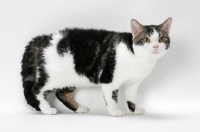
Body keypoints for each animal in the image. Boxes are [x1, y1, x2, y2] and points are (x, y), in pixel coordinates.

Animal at [21, 17, 172, 116]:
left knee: (62, 94)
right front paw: (114, 111)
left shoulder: (133, 84)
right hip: (53, 76)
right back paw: (47, 109)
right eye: (146, 39)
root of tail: (44, 37)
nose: (156, 46)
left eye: (162, 39)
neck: (138, 57)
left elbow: (131, 97)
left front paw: (135, 110)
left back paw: (79, 109)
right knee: (37, 89)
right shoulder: (108, 80)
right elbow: (112, 97)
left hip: (72, 76)